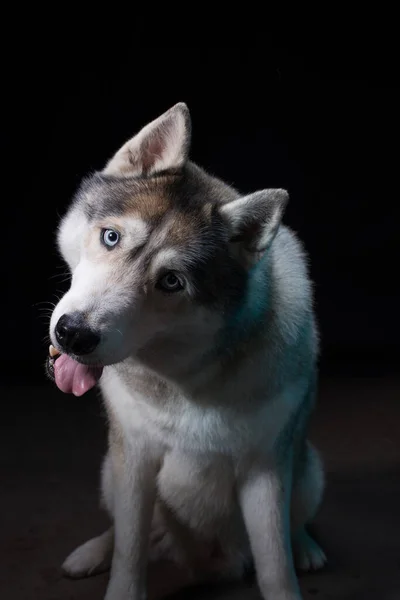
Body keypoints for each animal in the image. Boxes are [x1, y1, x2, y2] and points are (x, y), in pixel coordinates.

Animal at [49, 104, 324, 600]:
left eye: (171, 281)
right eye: (111, 237)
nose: (74, 335)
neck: (187, 378)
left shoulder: (266, 469)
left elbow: (275, 563)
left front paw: (288, 573)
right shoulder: (133, 458)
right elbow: (130, 546)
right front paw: (119, 579)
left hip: (309, 470)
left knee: (294, 522)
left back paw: (306, 546)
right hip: (109, 469)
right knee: (122, 528)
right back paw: (93, 551)